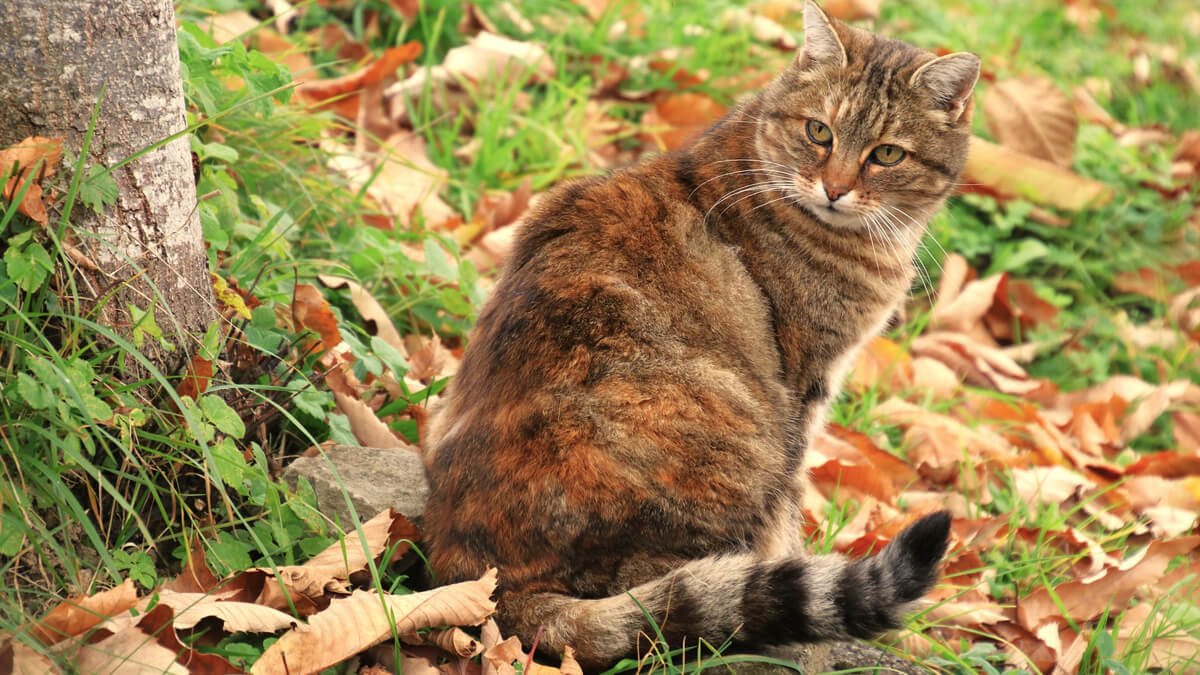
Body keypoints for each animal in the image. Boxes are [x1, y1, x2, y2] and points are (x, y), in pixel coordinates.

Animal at [420, 2, 974, 667]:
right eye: (819, 132)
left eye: (887, 154)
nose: (836, 188)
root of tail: (486, 581)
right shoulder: (805, 387)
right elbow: (793, 508)